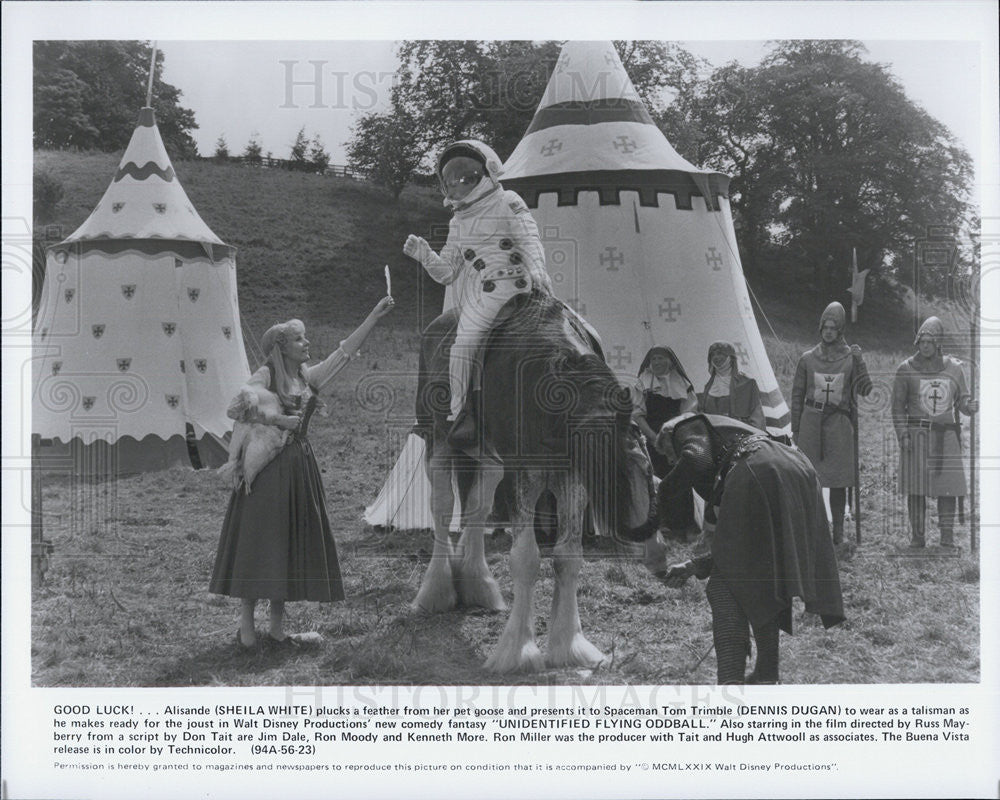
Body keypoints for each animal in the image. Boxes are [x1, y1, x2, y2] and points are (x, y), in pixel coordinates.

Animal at [412, 290, 656, 672]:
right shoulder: (525, 474)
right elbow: (526, 558)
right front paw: (518, 651)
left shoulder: (569, 478)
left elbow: (568, 557)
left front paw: (569, 646)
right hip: (438, 443)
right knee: (442, 509)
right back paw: (436, 592)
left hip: (489, 462)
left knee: (478, 508)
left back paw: (478, 585)